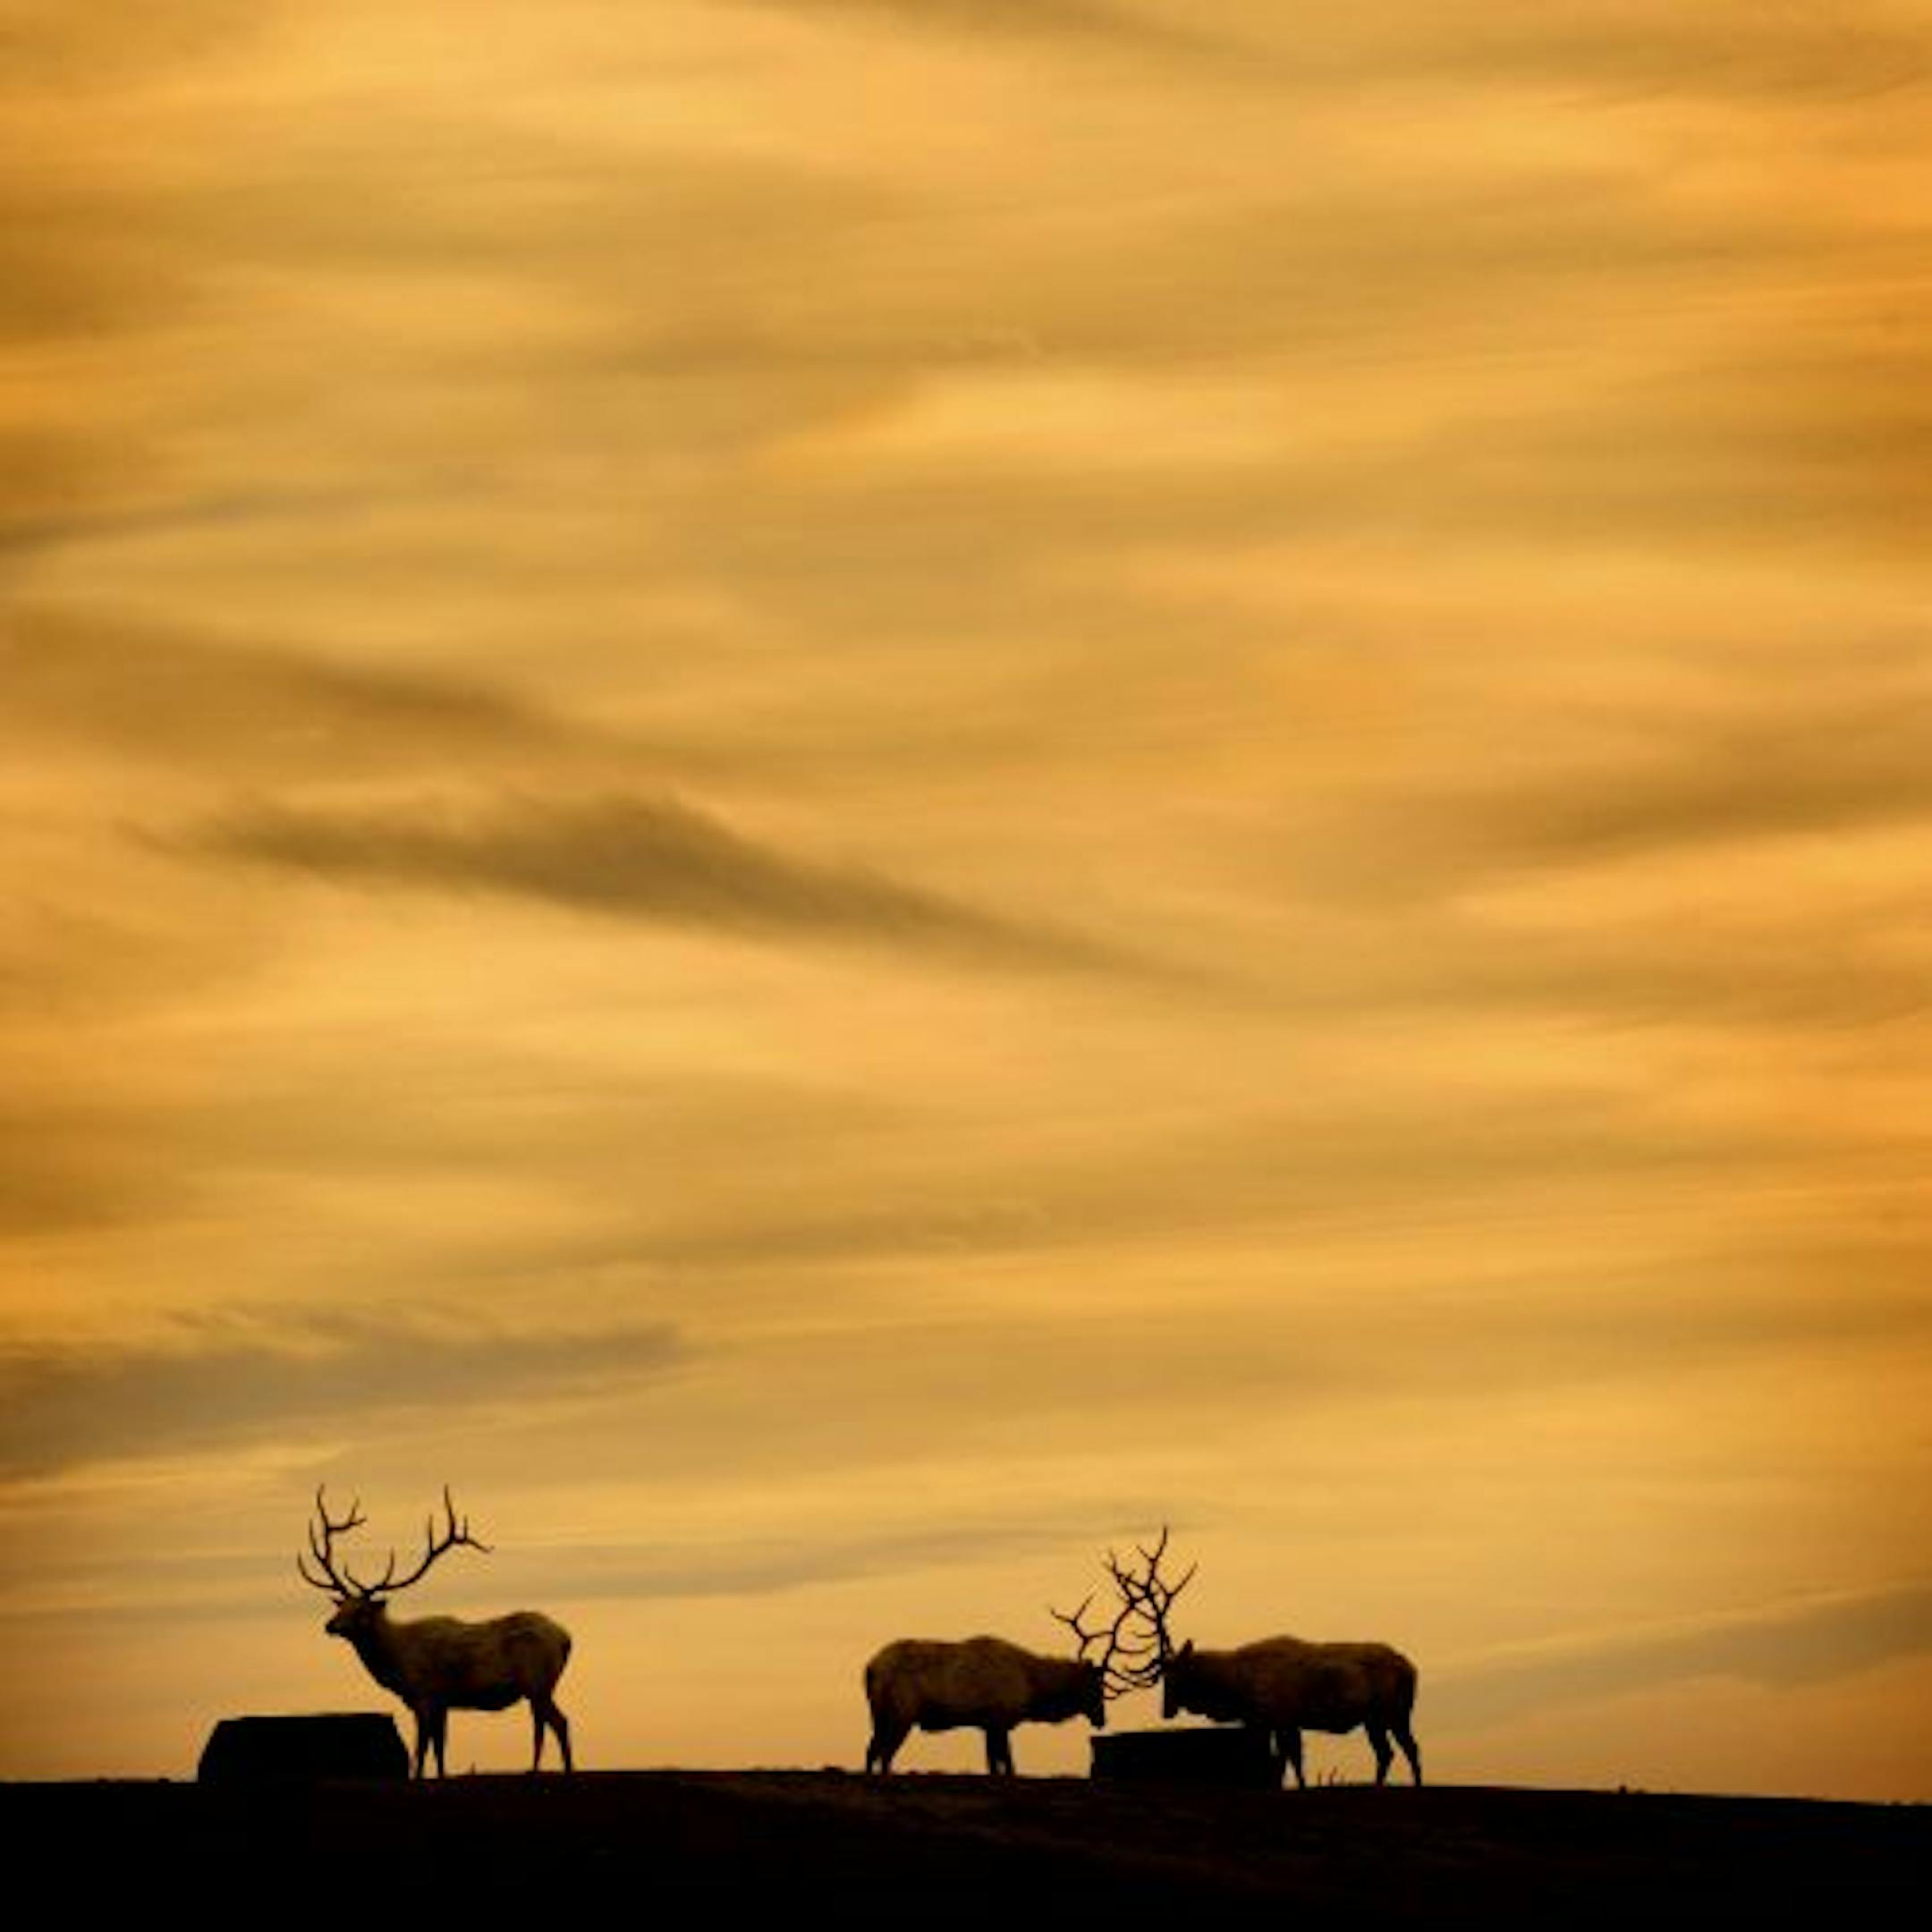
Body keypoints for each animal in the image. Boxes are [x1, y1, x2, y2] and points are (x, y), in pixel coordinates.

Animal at [298, 1486, 574, 1778]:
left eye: (361, 1611)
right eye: (342, 1607)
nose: (330, 1625)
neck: (397, 1662)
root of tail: (566, 1638)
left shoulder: (424, 1695)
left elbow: (421, 1750)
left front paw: (419, 1776)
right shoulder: (442, 1701)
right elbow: (440, 1748)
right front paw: (441, 1774)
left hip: (538, 1682)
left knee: (559, 1722)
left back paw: (560, 1770)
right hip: (540, 1688)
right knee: (544, 1725)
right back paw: (539, 1768)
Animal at [1109, 1527, 1422, 1788]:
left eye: (1179, 1674)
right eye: (1164, 1675)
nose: (1166, 1710)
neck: (1233, 1689)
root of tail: (1412, 1669)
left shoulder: (1276, 1717)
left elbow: (1284, 1762)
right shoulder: (1277, 1721)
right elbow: (1288, 1760)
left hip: (1394, 1710)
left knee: (1407, 1748)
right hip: (1376, 1718)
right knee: (1387, 1752)